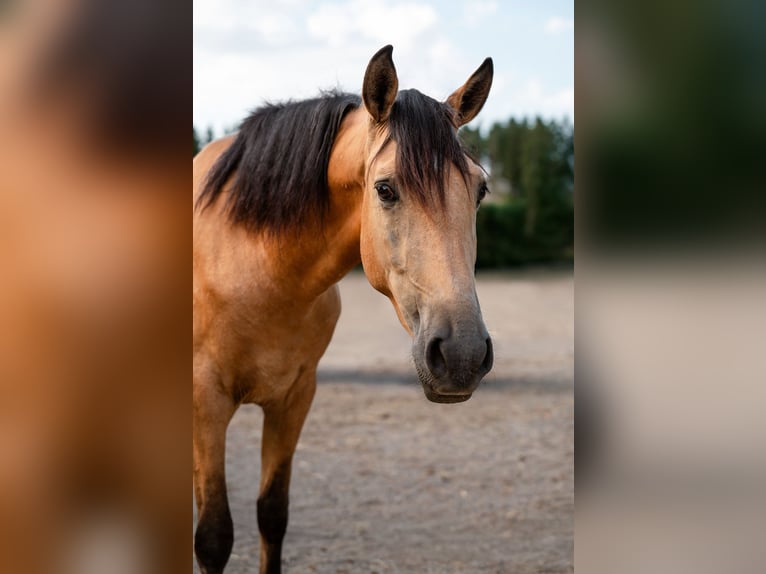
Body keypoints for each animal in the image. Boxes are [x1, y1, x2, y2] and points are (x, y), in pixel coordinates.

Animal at [193, 45, 494, 574]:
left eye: (479, 190)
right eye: (385, 189)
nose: (462, 354)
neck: (256, 267)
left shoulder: (294, 398)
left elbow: (272, 514)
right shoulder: (205, 401)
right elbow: (213, 536)